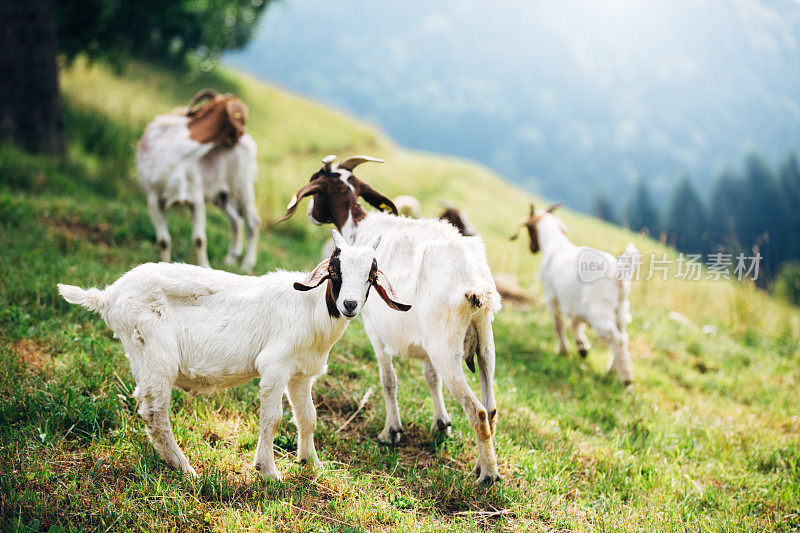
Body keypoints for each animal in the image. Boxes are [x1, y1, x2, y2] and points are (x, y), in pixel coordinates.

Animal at [57, 231, 412, 480]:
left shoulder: (300, 374)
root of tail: (107, 296)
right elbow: (272, 418)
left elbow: (308, 417)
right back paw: (185, 469)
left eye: (370, 275)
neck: (310, 308)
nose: (350, 304)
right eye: (335, 272)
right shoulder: (274, 367)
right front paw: (268, 472)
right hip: (156, 355)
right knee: (155, 413)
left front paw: (311, 463)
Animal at [136, 90, 260, 272]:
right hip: (222, 196)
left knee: (252, 221)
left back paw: (246, 265)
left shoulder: (196, 198)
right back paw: (231, 259)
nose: (240, 135)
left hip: (242, 186)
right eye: (244, 114)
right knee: (236, 221)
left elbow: (199, 240)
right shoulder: (153, 199)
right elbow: (164, 241)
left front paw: (205, 268)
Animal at [276, 155, 500, 486]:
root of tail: (475, 284)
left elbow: (388, 380)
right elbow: (430, 378)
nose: (310, 214)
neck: (359, 228)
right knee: (492, 407)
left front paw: (391, 432)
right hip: (484, 343)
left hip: (447, 348)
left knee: (479, 412)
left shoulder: (374, 329)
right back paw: (481, 464)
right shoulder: (425, 344)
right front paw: (441, 423)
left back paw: (487, 475)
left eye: (315, 184)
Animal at [512, 203, 636, 382]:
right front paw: (582, 346)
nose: (532, 249)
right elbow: (575, 323)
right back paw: (612, 369)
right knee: (622, 337)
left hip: (600, 313)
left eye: (529, 230)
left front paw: (563, 350)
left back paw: (626, 379)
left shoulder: (552, 295)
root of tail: (619, 270)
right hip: (621, 311)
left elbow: (558, 323)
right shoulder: (575, 303)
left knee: (618, 340)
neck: (555, 244)